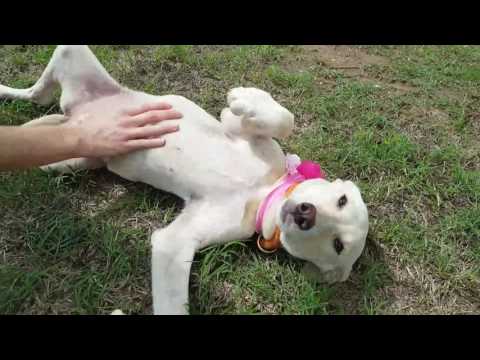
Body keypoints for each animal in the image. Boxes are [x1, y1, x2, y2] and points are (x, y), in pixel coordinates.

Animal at [0, 45, 372, 316]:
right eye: (341, 200)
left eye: (338, 245)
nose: (306, 213)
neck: (263, 192)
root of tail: (75, 116)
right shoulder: (239, 131)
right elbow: (283, 119)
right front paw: (245, 98)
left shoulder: (176, 241)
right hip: (72, 55)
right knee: (36, 93)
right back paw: (6, 91)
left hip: (75, 148)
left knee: (43, 110)